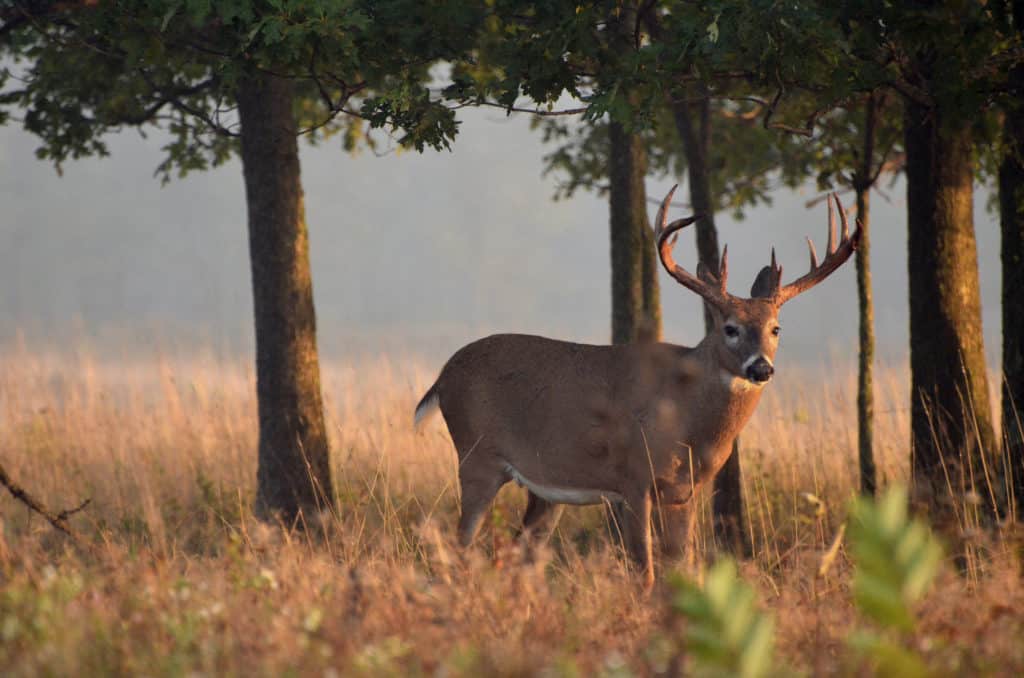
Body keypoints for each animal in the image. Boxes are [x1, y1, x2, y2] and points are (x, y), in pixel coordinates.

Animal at [411, 187, 860, 589]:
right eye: (730, 328)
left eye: (775, 329)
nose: (762, 367)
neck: (687, 418)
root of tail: (443, 375)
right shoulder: (632, 477)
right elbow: (644, 571)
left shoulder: (684, 491)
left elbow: (684, 569)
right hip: (477, 456)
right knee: (459, 549)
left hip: (545, 492)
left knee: (516, 559)